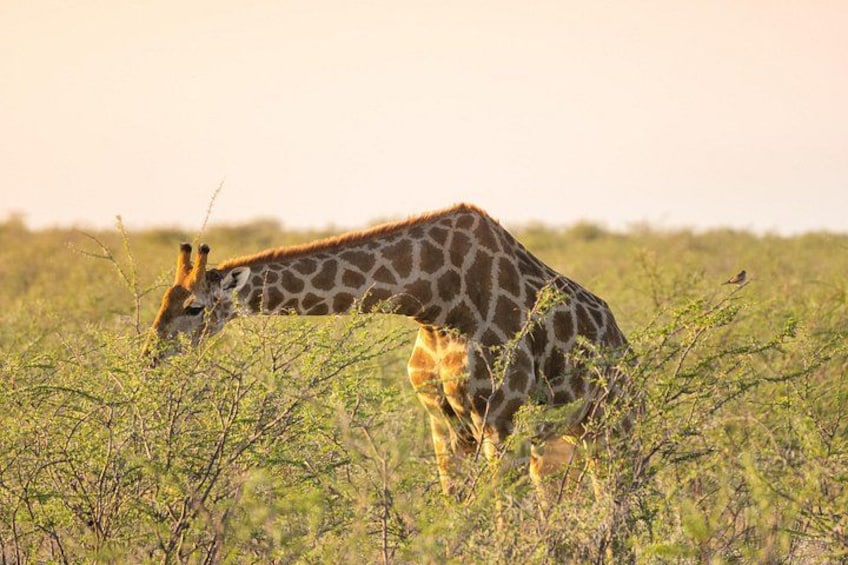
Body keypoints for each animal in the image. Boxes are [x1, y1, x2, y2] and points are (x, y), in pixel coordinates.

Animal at [147, 204, 632, 498]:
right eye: (164, 299)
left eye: (193, 308)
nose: (152, 355)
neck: (437, 302)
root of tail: (623, 345)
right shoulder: (443, 420)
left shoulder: (500, 415)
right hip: (561, 436)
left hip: (611, 423)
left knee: (617, 499)